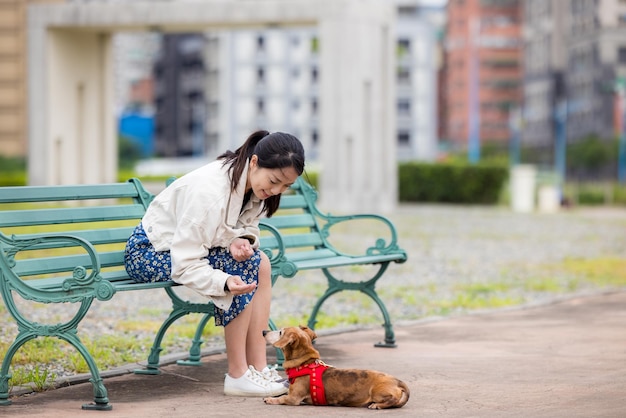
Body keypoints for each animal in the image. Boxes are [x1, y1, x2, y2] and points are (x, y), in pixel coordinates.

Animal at [260, 326, 408, 408]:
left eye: (280, 332)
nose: (263, 331)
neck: (304, 364)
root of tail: (398, 381)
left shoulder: (294, 398)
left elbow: (282, 398)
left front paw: (270, 399)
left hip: (376, 392)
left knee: (392, 400)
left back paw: (376, 405)